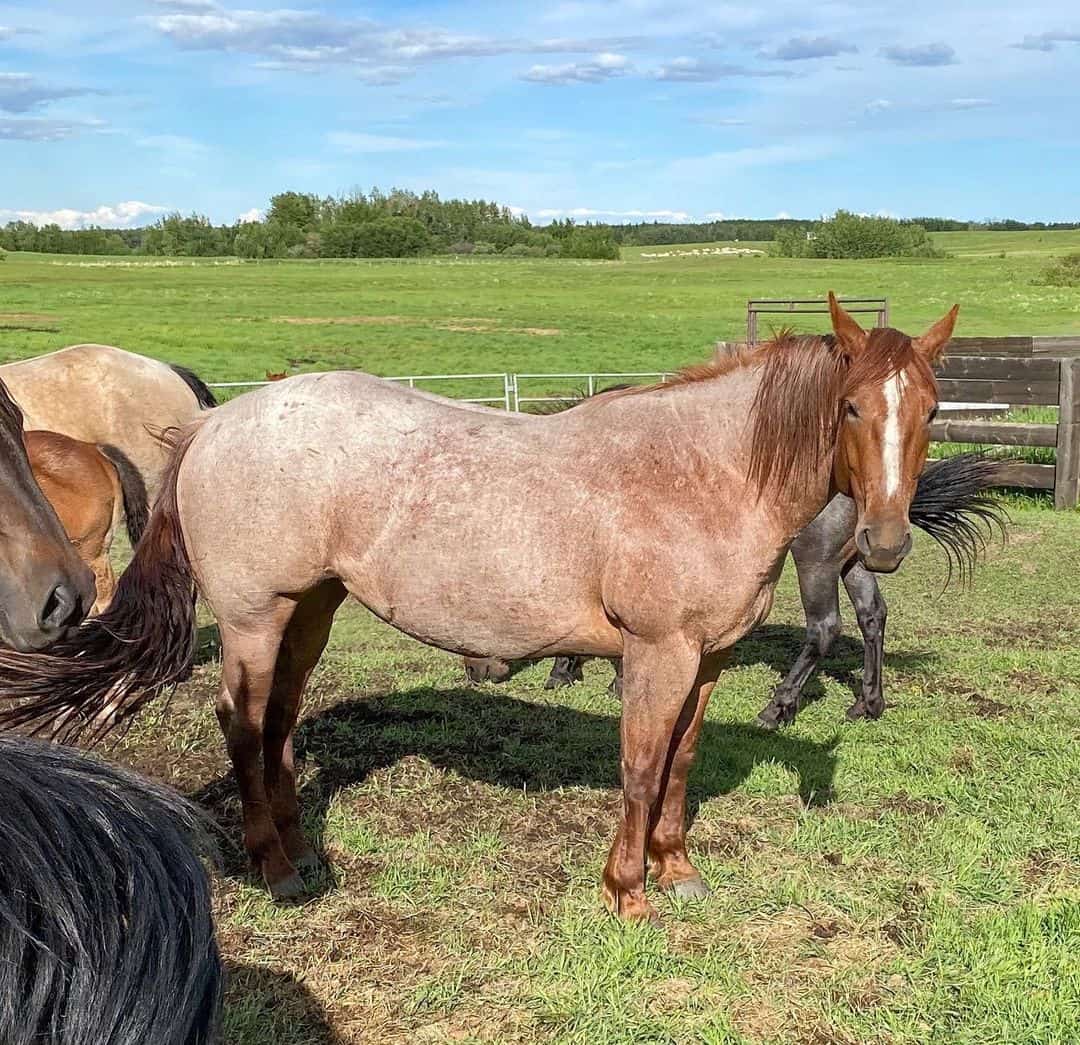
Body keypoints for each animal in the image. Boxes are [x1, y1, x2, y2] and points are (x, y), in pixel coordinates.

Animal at [465, 451, 1007, 725]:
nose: (475, 672)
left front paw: (586, 674)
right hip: (853, 559)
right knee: (873, 615)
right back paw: (868, 704)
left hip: (814, 560)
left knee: (824, 629)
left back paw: (778, 707)